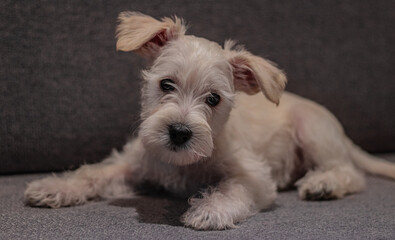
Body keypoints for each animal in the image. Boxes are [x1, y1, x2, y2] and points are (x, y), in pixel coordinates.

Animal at [24, 12, 395, 230]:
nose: (179, 132)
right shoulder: (131, 166)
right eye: (166, 84)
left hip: (313, 130)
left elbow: (233, 188)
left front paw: (209, 210)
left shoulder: (254, 177)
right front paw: (54, 187)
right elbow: (92, 174)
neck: (183, 164)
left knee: (350, 173)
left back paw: (323, 184)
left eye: (214, 98)